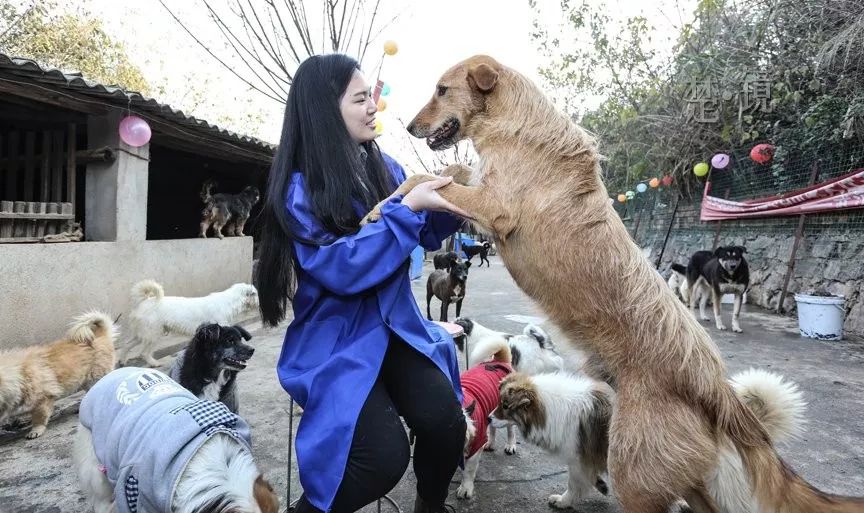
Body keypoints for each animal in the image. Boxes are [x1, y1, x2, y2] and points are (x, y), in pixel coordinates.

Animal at [120, 280, 260, 368]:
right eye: (256, 294)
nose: (260, 304)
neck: (230, 302)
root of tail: (145, 301)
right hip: (153, 334)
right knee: (144, 352)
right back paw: (154, 363)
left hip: (141, 334)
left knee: (126, 345)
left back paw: (122, 361)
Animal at [496, 370, 808, 510]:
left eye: (504, 406)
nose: (488, 415)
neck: (546, 404)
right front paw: (601, 485)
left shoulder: (579, 457)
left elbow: (575, 483)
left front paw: (563, 501)